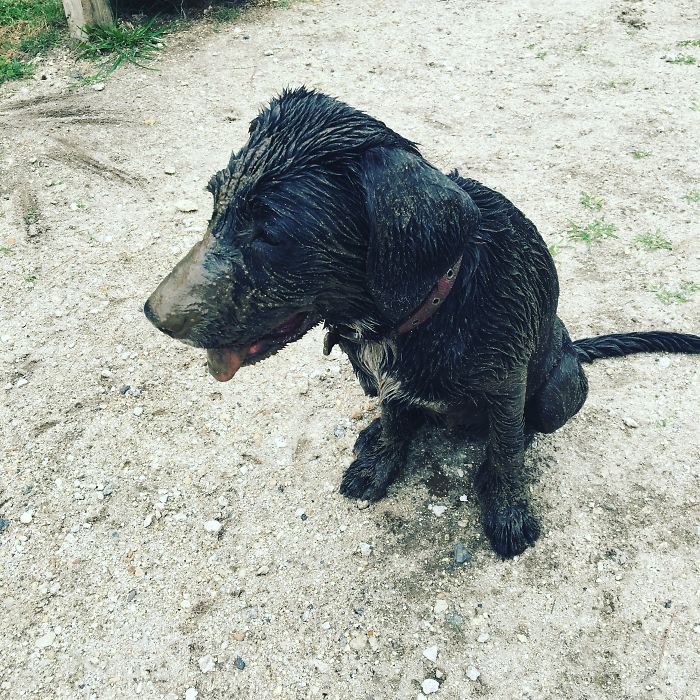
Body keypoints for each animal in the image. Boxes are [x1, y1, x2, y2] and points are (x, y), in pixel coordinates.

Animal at [144, 87, 700, 556]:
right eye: (214, 200)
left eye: (271, 232)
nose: (152, 316)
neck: (427, 307)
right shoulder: (384, 379)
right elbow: (394, 424)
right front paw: (380, 463)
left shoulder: (506, 386)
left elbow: (506, 452)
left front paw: (507, 511)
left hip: (558, 390)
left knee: (527, 427)